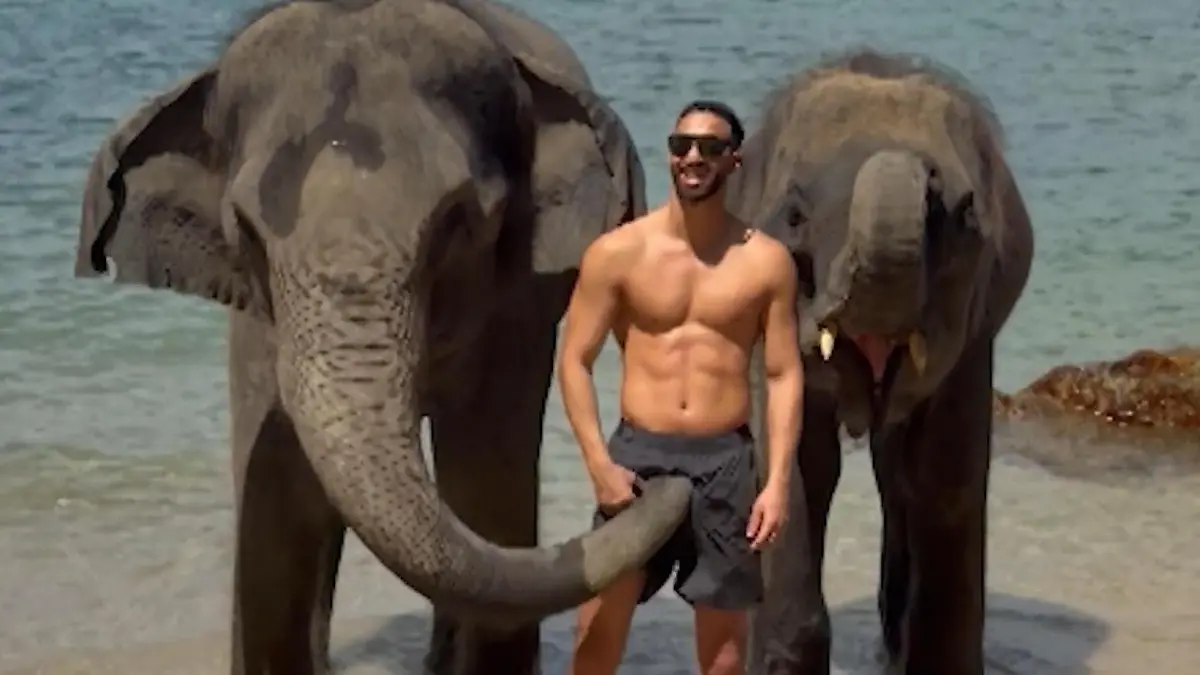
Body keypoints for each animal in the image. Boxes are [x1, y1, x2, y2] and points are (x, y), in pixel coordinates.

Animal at [71, 1, 694, 673]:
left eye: (457, 220)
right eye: (245, 231)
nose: (653, 482)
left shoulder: (518, 304)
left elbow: (485, 480)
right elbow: (280, 499)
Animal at [727, 49, 1035, 674]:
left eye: (966, 215)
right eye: (793, 215)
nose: (931, 182)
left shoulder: (974, 339)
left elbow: (946, 476)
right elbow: (800, 465)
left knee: (901, 475)